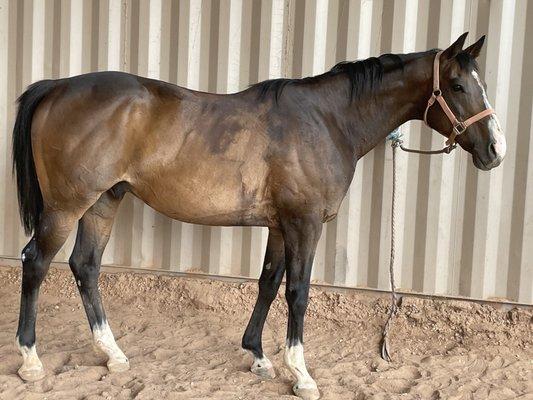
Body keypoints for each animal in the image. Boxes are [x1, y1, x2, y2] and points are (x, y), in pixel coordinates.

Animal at [12, 32, 502, 400]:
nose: (495, 151)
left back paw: (111, 354)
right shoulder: (304, 224)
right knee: (36, 262)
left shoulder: (280, 226)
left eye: (479, 83)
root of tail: (55, 87)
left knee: (85, 266)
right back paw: (31, 360)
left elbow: (268, 283)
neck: (327, 121)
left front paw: (259, 357)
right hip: (66, 206)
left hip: (103, 201)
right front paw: (301, 374)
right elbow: (298, 293)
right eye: (457, 85)